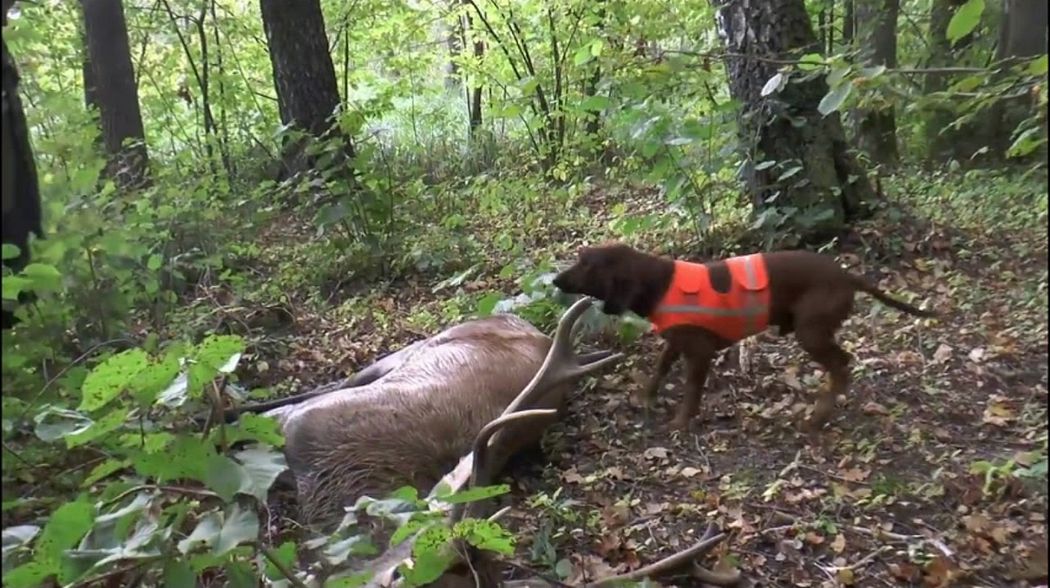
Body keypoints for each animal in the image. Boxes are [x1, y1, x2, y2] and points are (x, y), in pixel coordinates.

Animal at [550, 243, 936, 432]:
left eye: (586, 264)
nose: (555, 280)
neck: (659, 283)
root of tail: (847, 276)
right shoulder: (676, 342)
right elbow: (659, 370)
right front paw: (646, 397)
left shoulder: (699, 353)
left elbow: (691, 391)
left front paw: (680, 424)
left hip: (811, 332)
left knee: (842, 365)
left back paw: (817, 418)